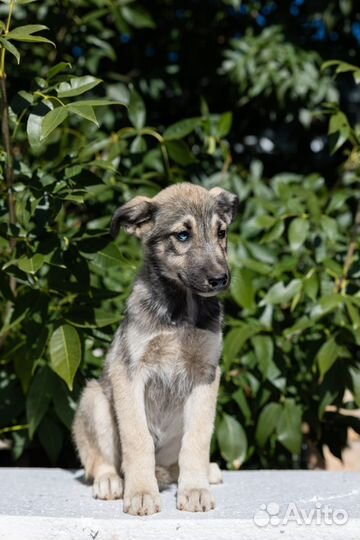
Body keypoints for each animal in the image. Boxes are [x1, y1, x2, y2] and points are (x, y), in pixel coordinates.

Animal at [73, 181, 239, 516]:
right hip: (94, 399)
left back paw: (205, 472)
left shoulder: (205, 375)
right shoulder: (129, 372)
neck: (181, 311)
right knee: (98, 462)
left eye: (221, 232)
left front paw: (195, 489)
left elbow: (197, 439)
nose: (220, 279)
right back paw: (111, 481)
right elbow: (138, 440)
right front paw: (140, 493)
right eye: (183, 235)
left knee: (177, 463)